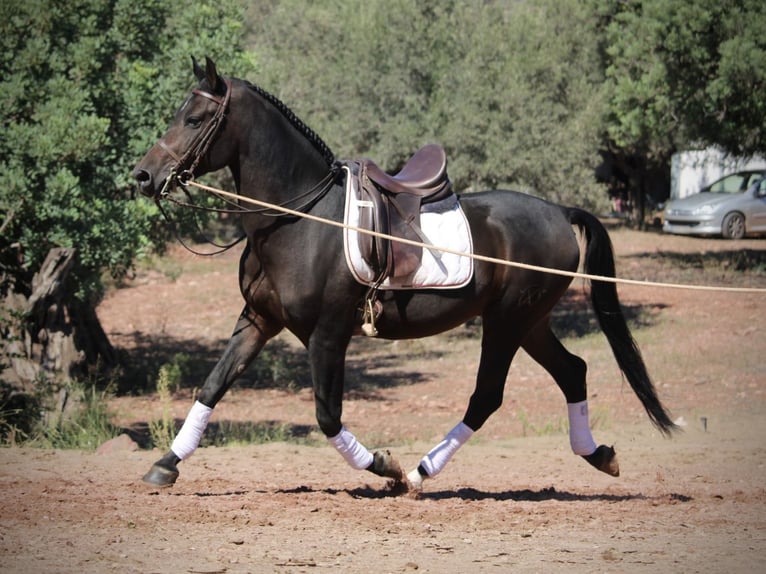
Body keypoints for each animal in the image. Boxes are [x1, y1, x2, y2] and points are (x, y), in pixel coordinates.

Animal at [133, 57, 676, 491]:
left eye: (194, 118)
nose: (143, 175)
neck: (298, 218)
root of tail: (560, 212)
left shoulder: (327, 334)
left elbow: (327, 415)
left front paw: (384, 466)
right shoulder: (258, 320)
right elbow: (211, 387)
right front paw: (165, 464)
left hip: (507, 322)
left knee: (487, 396)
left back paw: (419, 472)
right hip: (529, 322)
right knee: (572, 371)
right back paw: (598, 455)